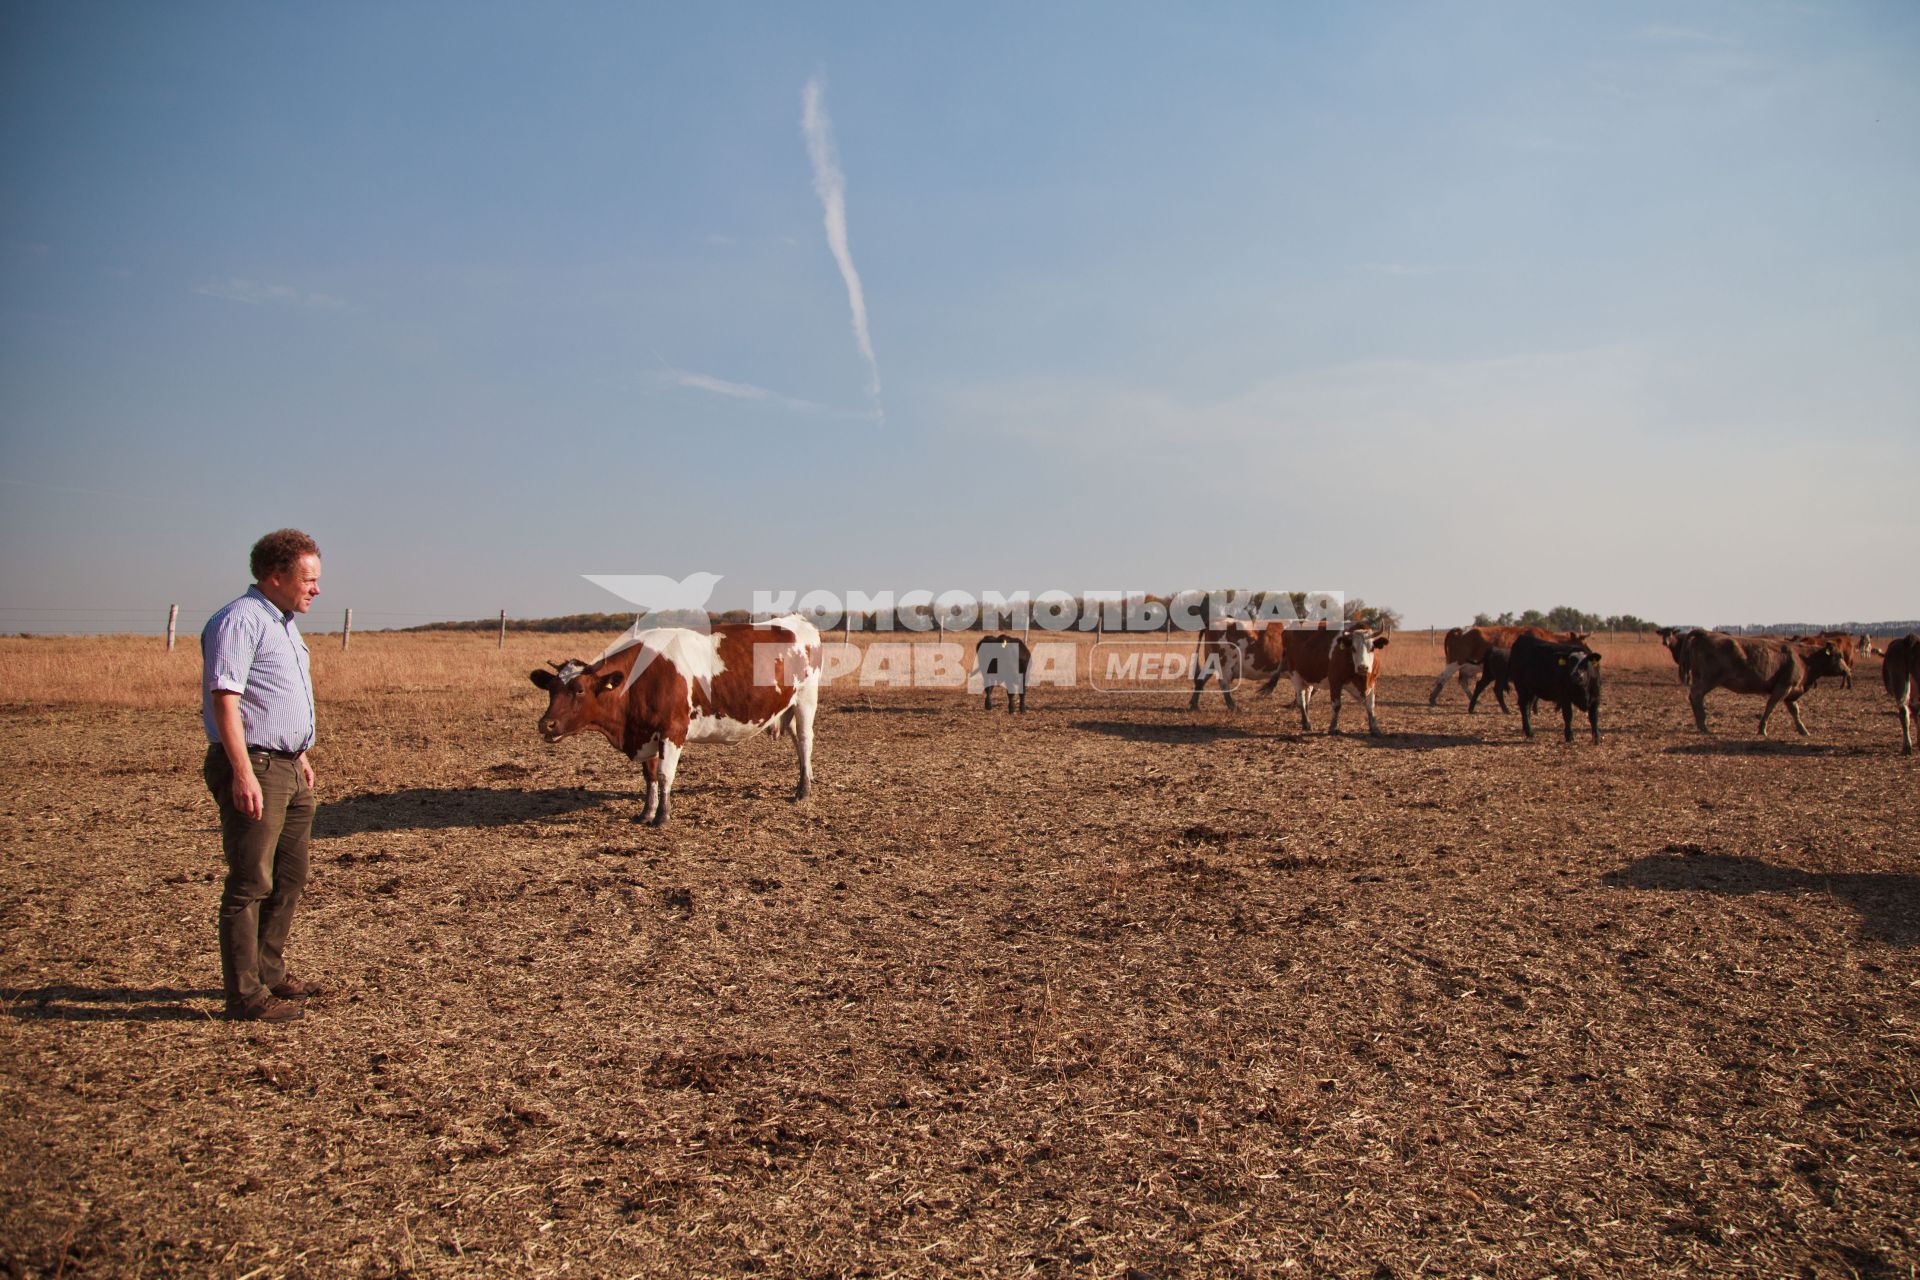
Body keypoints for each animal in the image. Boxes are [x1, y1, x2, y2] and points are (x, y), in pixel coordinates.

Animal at [529, 614, 821, 825]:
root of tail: (796, 620)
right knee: (797, 743)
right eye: (551, 689)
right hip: (787, 707)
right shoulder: (646, 733)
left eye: (579, 689)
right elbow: (649, 776)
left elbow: (664, 774)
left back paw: (804, 791)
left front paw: (662, 816)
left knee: (805, 742)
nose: (546, 724)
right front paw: (646, 812)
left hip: (806, 700)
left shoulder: (673, 731)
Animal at [1436, 625, 1582, 706]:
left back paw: (1474, 700)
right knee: (1443, 677)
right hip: (1455, 662)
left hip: (1468, 667)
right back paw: (1433, 699)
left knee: (1463, 681)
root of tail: (1460, 630)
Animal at [1689, 633, 1850, 736]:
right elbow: (1770, 707)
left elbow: (1795, 711)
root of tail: (1704, 634)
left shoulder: (1791, 692)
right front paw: (1762, 729)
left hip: (1699, 677)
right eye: (1839, 656)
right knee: (1696, 695)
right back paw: (1703, 725)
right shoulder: (1783, 687)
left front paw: (1803, 730)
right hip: (1709, 680)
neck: (1804, 658)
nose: (1847, 670)